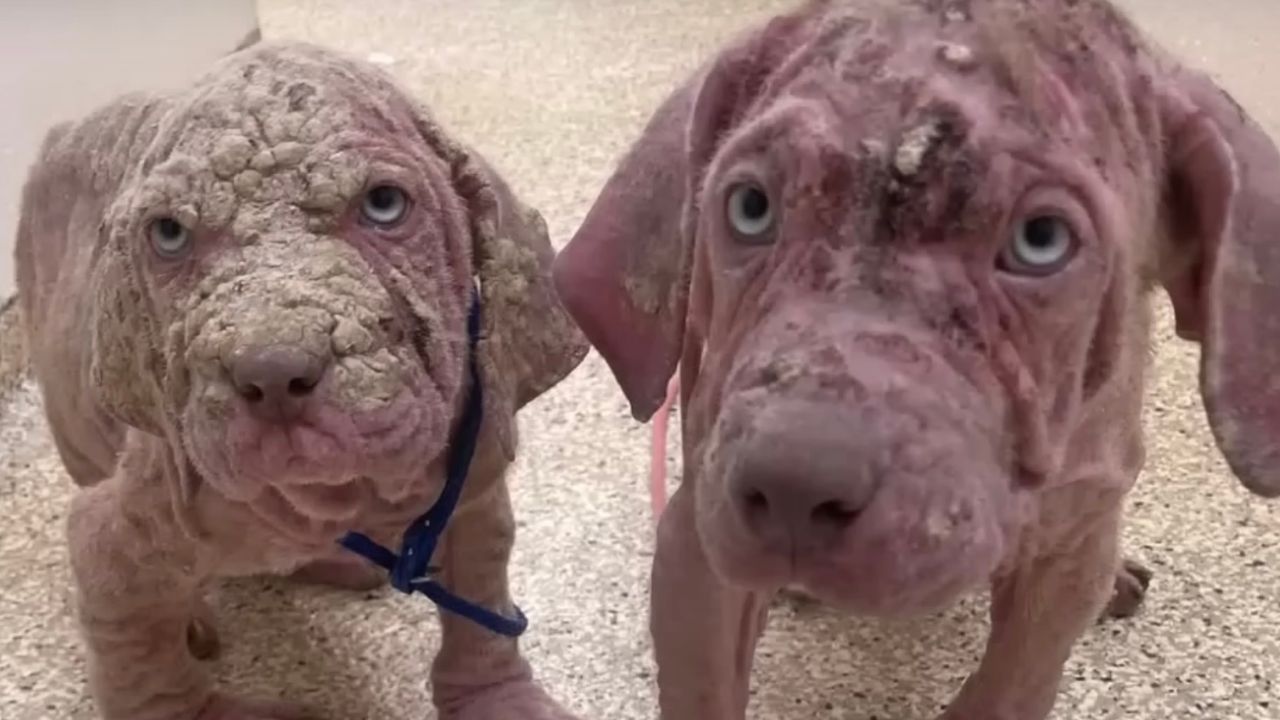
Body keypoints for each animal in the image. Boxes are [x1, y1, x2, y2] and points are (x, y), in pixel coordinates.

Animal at [12, 40, 588, 717]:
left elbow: (482, 603)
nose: (272, 371)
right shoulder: (114, 540)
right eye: (169, 234)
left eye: (384, 203)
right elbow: (148, 677)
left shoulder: (473, 488)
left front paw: (498, 696)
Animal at [555, 1, 1280, 717]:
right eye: (750, 207)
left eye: (1041, 240)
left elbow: (1009, 687)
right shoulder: (697, 548)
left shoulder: (1067, 554)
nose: (796, 485)